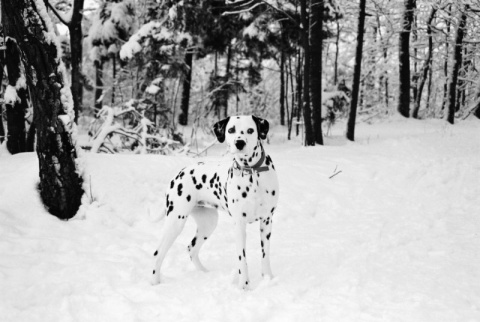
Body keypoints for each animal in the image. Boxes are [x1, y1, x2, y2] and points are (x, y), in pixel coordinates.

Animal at [152, 115, 280, 290]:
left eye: (250, 130)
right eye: (231, 130)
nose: (240, 143)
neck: (252, 174)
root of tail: (178, 174)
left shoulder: (267, 221)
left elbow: (265, 254)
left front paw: (268, 278)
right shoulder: (239, 224)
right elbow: (242, 259)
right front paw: (244, 286)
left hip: (208, 224)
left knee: (191, 248)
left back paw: (204, 272)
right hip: (175, 222)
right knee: (158, 253)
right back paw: (154, 282)